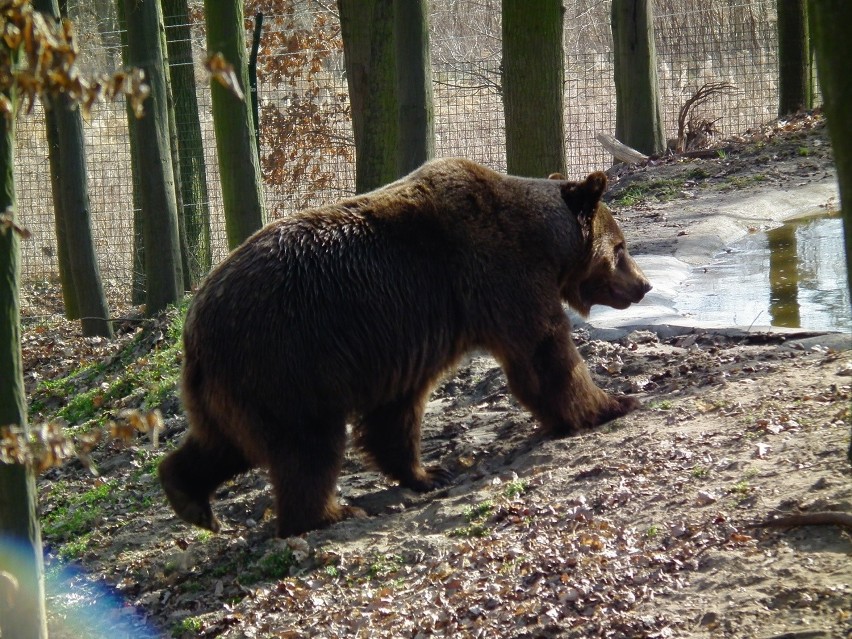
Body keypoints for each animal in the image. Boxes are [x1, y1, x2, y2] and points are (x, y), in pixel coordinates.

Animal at [160, 158, 652, 536]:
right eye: (621, 246)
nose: (644, 284)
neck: (546, 244)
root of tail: (193, 326)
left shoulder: (409, 341)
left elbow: (396, 413)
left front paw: (429, 472)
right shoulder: (501, 277)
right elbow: (544, 354)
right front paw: (612, 403)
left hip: (233, 388)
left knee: (222, 444)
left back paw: (189, 498)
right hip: (285, 361)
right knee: (307, 447)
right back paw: (330, 513)